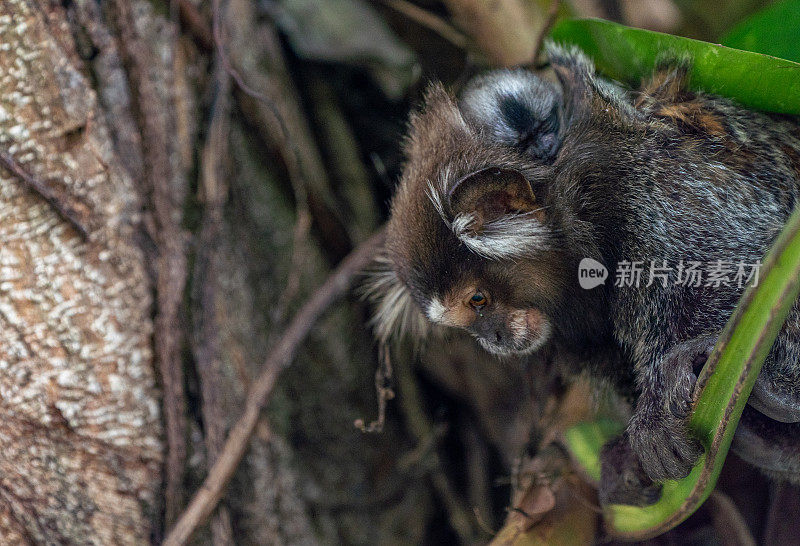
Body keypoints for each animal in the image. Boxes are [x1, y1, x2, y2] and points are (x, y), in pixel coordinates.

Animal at [370, 44, 800, 504]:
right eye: (465, 323)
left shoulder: (650, 186)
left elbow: (732, 259)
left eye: (478, 300)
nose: (494, 339)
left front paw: (658, 401)